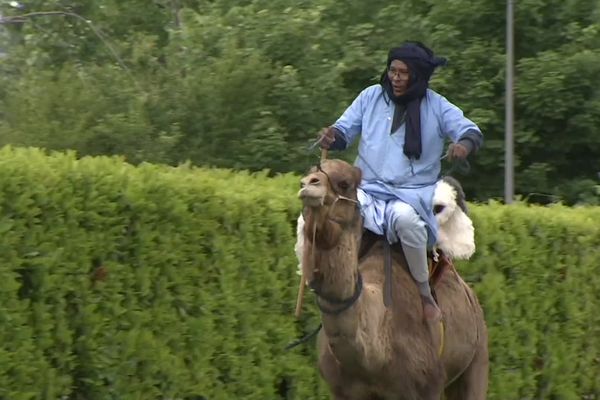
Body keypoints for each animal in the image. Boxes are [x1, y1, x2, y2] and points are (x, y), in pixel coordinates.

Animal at [298, 159, 490, 400]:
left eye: (344, 183)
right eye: (309, 173)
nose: (308, 185)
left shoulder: (427, 386)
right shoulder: (343, 391)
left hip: (477, 356)